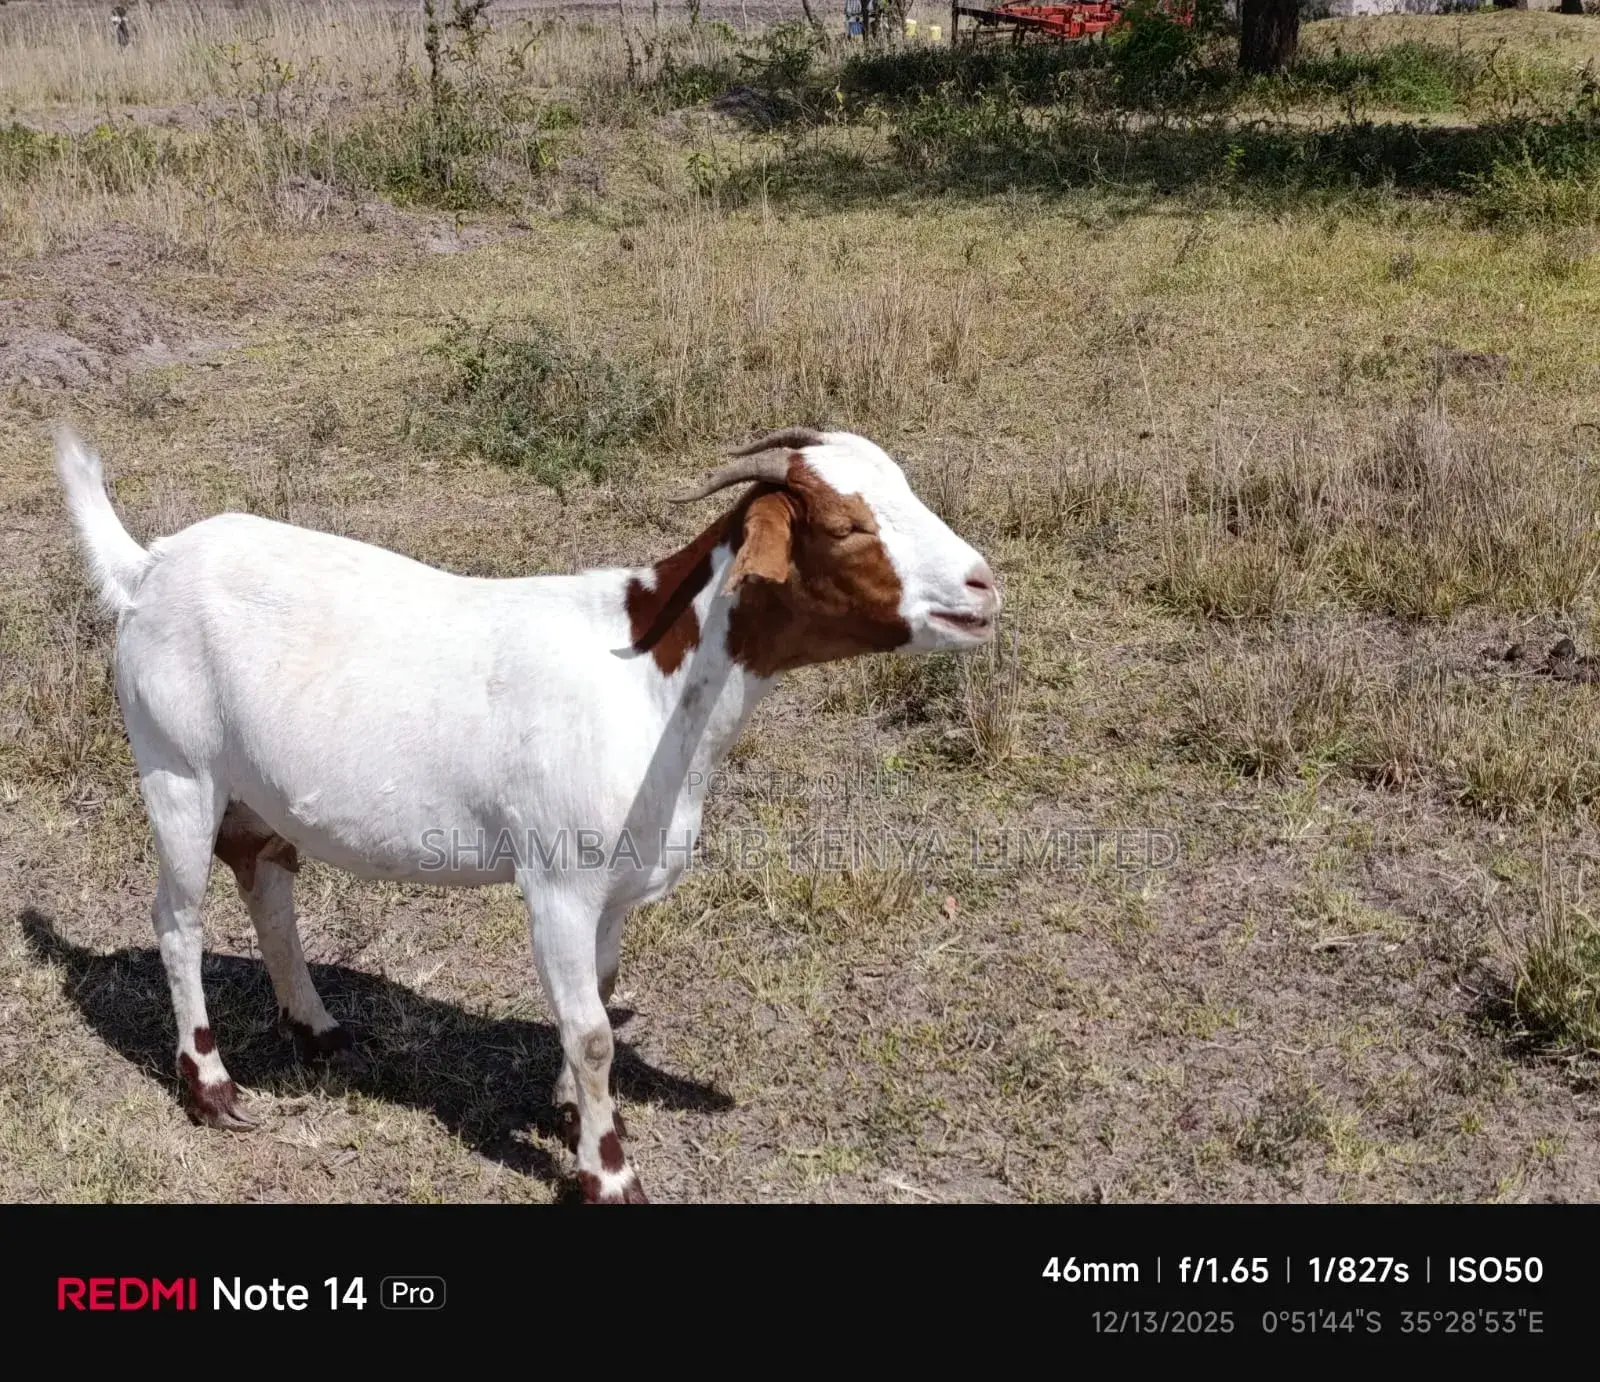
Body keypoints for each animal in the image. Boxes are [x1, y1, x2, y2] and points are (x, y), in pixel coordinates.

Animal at [55, 425, 1000, 1202]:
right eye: (845, 527)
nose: (983, 585)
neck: (647, 678)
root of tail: (148, 566)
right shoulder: (558, 881)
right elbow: (592, 1034)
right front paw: (607, 1174)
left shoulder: (615, 885)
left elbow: (600, 997)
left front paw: (568, 1114)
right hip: (177, 765)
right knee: (178, 918)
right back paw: (211, 1088)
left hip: (255, 783)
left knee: (265, 876)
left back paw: (316, 1027)